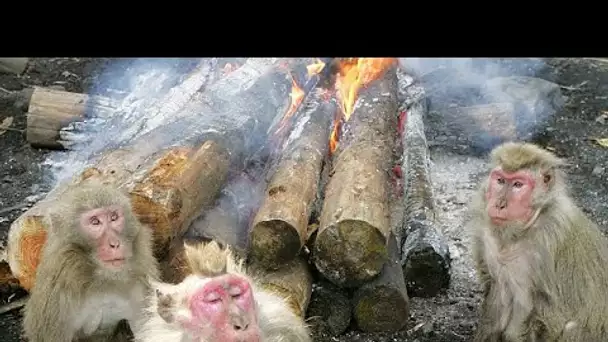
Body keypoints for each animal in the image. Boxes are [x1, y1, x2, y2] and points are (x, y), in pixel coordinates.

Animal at [470, 141, 608, 340]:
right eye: (500, 180)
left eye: (518, 185)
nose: (499, 204)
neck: (519, 233)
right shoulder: (484, 233)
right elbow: (494, 291)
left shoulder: (549, 240)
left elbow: (549, 315)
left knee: (570, 327)